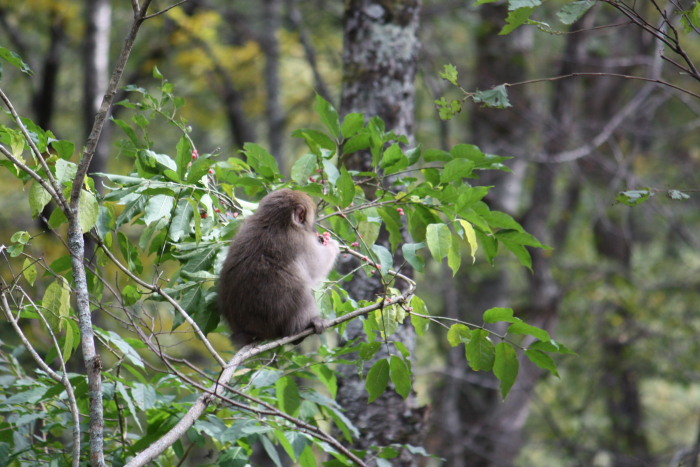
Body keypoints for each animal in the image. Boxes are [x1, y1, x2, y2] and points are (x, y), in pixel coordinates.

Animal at [217, 188, 340, 346]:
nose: (314, 230)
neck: (273, 221)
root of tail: (247, 330)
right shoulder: (300, 240)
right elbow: (317, 266)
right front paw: (333, 245)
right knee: (301, 290)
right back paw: (303, 328)